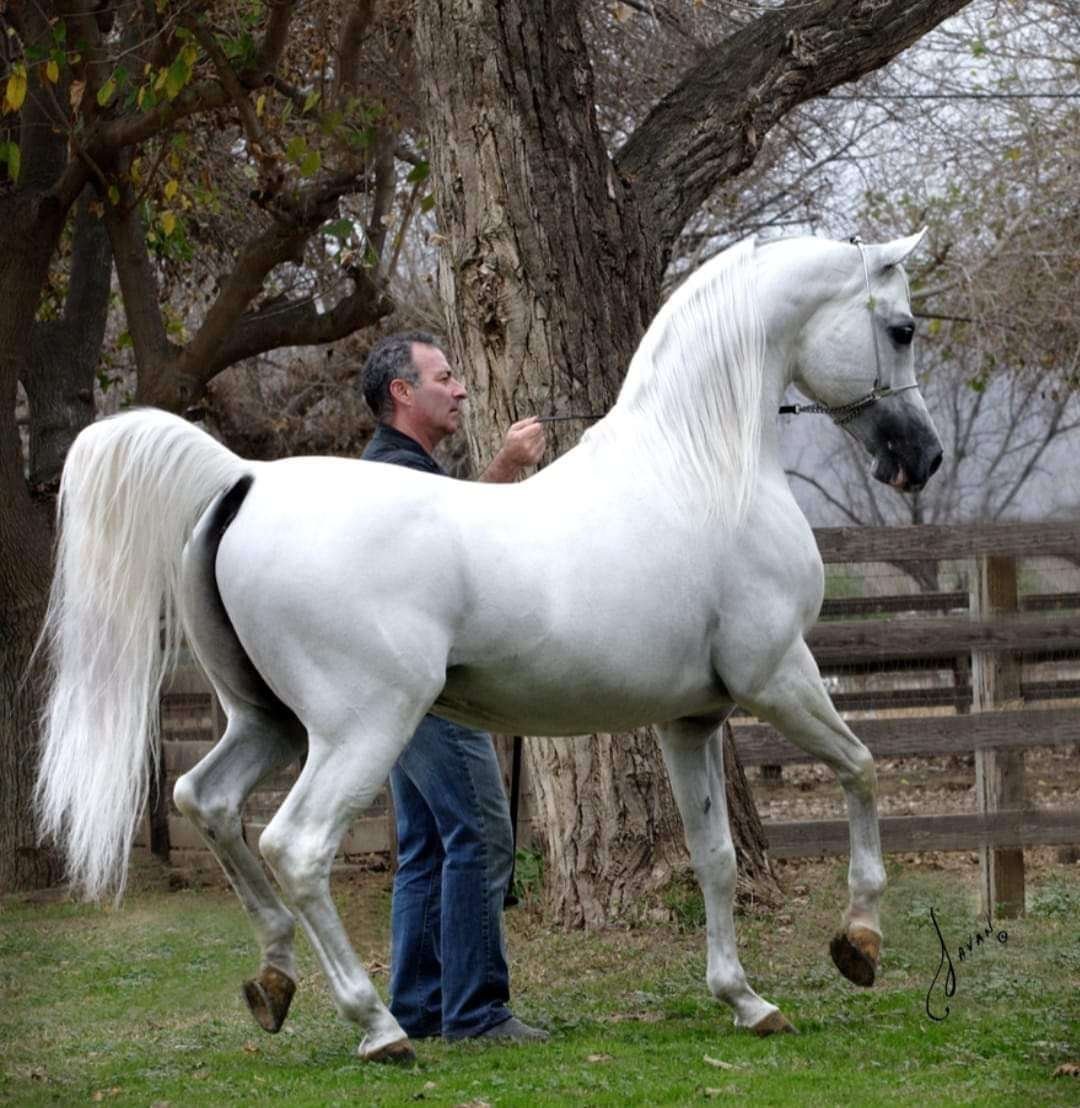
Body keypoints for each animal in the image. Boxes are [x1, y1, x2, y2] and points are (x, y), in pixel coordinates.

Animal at [35, 232, 943, 1062]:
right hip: (361, 729)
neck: (701, 471)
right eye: (900, 328)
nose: (923, 457)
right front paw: (859, 943)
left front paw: (745, 1000)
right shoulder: (779, 678)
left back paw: (275, 980)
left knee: (207, 801)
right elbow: (861, 770)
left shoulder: (692, 720)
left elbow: (713, 856)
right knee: (295, 846)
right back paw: (380, 1028)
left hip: (269, 724)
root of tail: (244, 479)